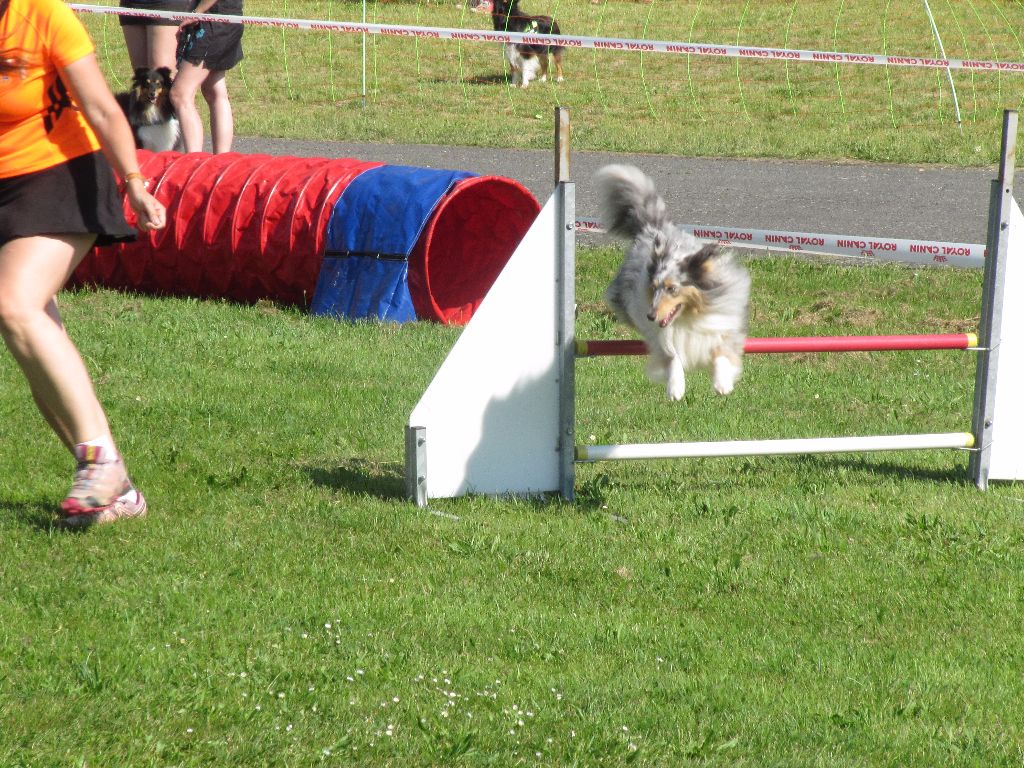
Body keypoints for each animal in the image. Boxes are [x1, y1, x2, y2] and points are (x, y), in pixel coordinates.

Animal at [593, 166, 753, 403]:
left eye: (672, 288)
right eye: (654, 287)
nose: (651, 316)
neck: (688, 315)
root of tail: (654, 227)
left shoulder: (721, 320)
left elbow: (721, 349)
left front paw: (722, 383)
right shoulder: (661, 336)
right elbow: (672, 354)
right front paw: (676, 388)